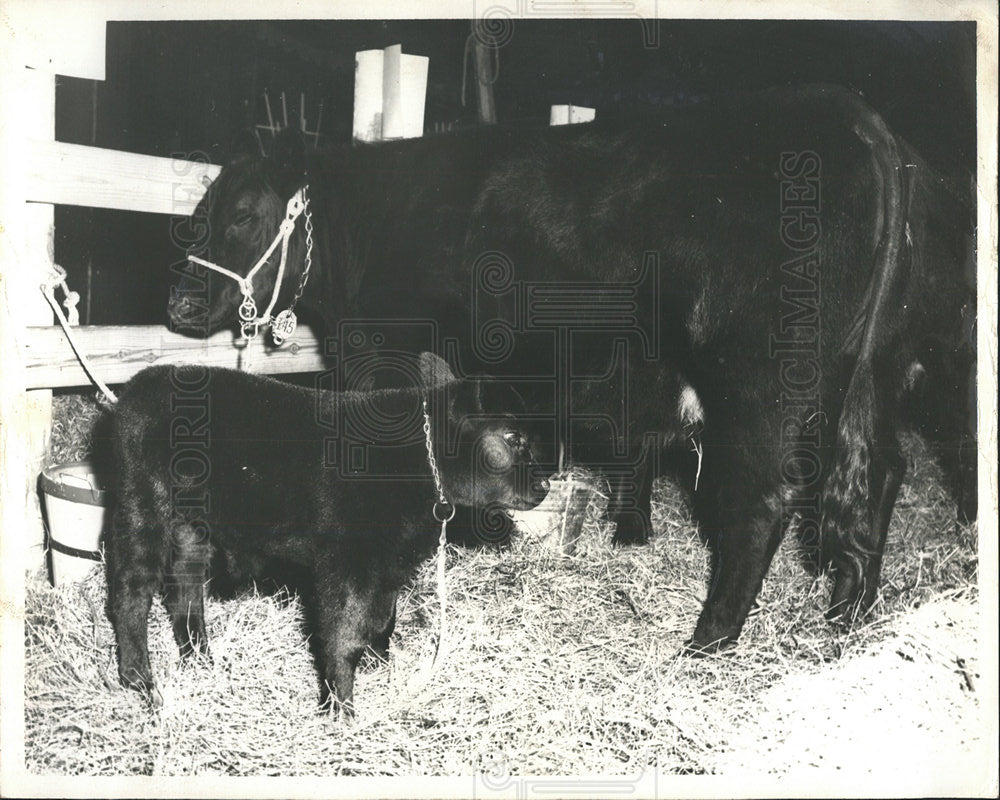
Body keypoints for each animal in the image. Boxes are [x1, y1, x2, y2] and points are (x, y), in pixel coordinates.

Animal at [106, 354, 548, 716]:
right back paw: (140, 680)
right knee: (132, 592)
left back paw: (199, 659)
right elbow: (345, 632)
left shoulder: (389, 563)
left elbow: (383, 620)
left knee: (185, 592)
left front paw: (381, 669)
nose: (544, 485)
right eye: (513, 438)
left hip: (191, 528)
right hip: (142, 506)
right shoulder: (348, 561)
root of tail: (136, 389)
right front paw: (342, 709)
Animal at [172, 84, 976, 652]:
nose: (179, 303)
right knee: (876, 476)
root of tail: (853, 115)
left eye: (242, 215)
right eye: (199, 214)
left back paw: (709, 641)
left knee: (762, 498)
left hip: (759, 378)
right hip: (875, 373)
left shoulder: (384, 352)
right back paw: (847, 621)